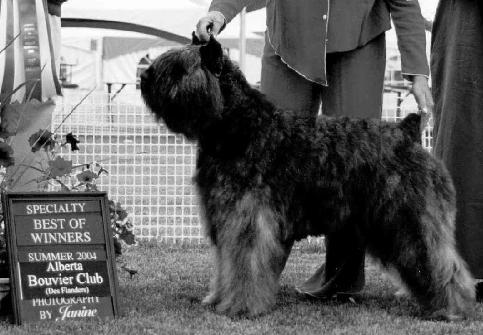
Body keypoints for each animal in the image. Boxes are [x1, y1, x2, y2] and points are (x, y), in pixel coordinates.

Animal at [141, 36, 476, 320]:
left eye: (179, 68)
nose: (144, 77)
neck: (237, 127)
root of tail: (407, 131)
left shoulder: (246, 219)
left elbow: (245, 266)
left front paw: (241, 307)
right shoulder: (225, 218)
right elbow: (227, 265)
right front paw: (218, 299)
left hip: (410, 220)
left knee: (442, 265)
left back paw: (452, 307)